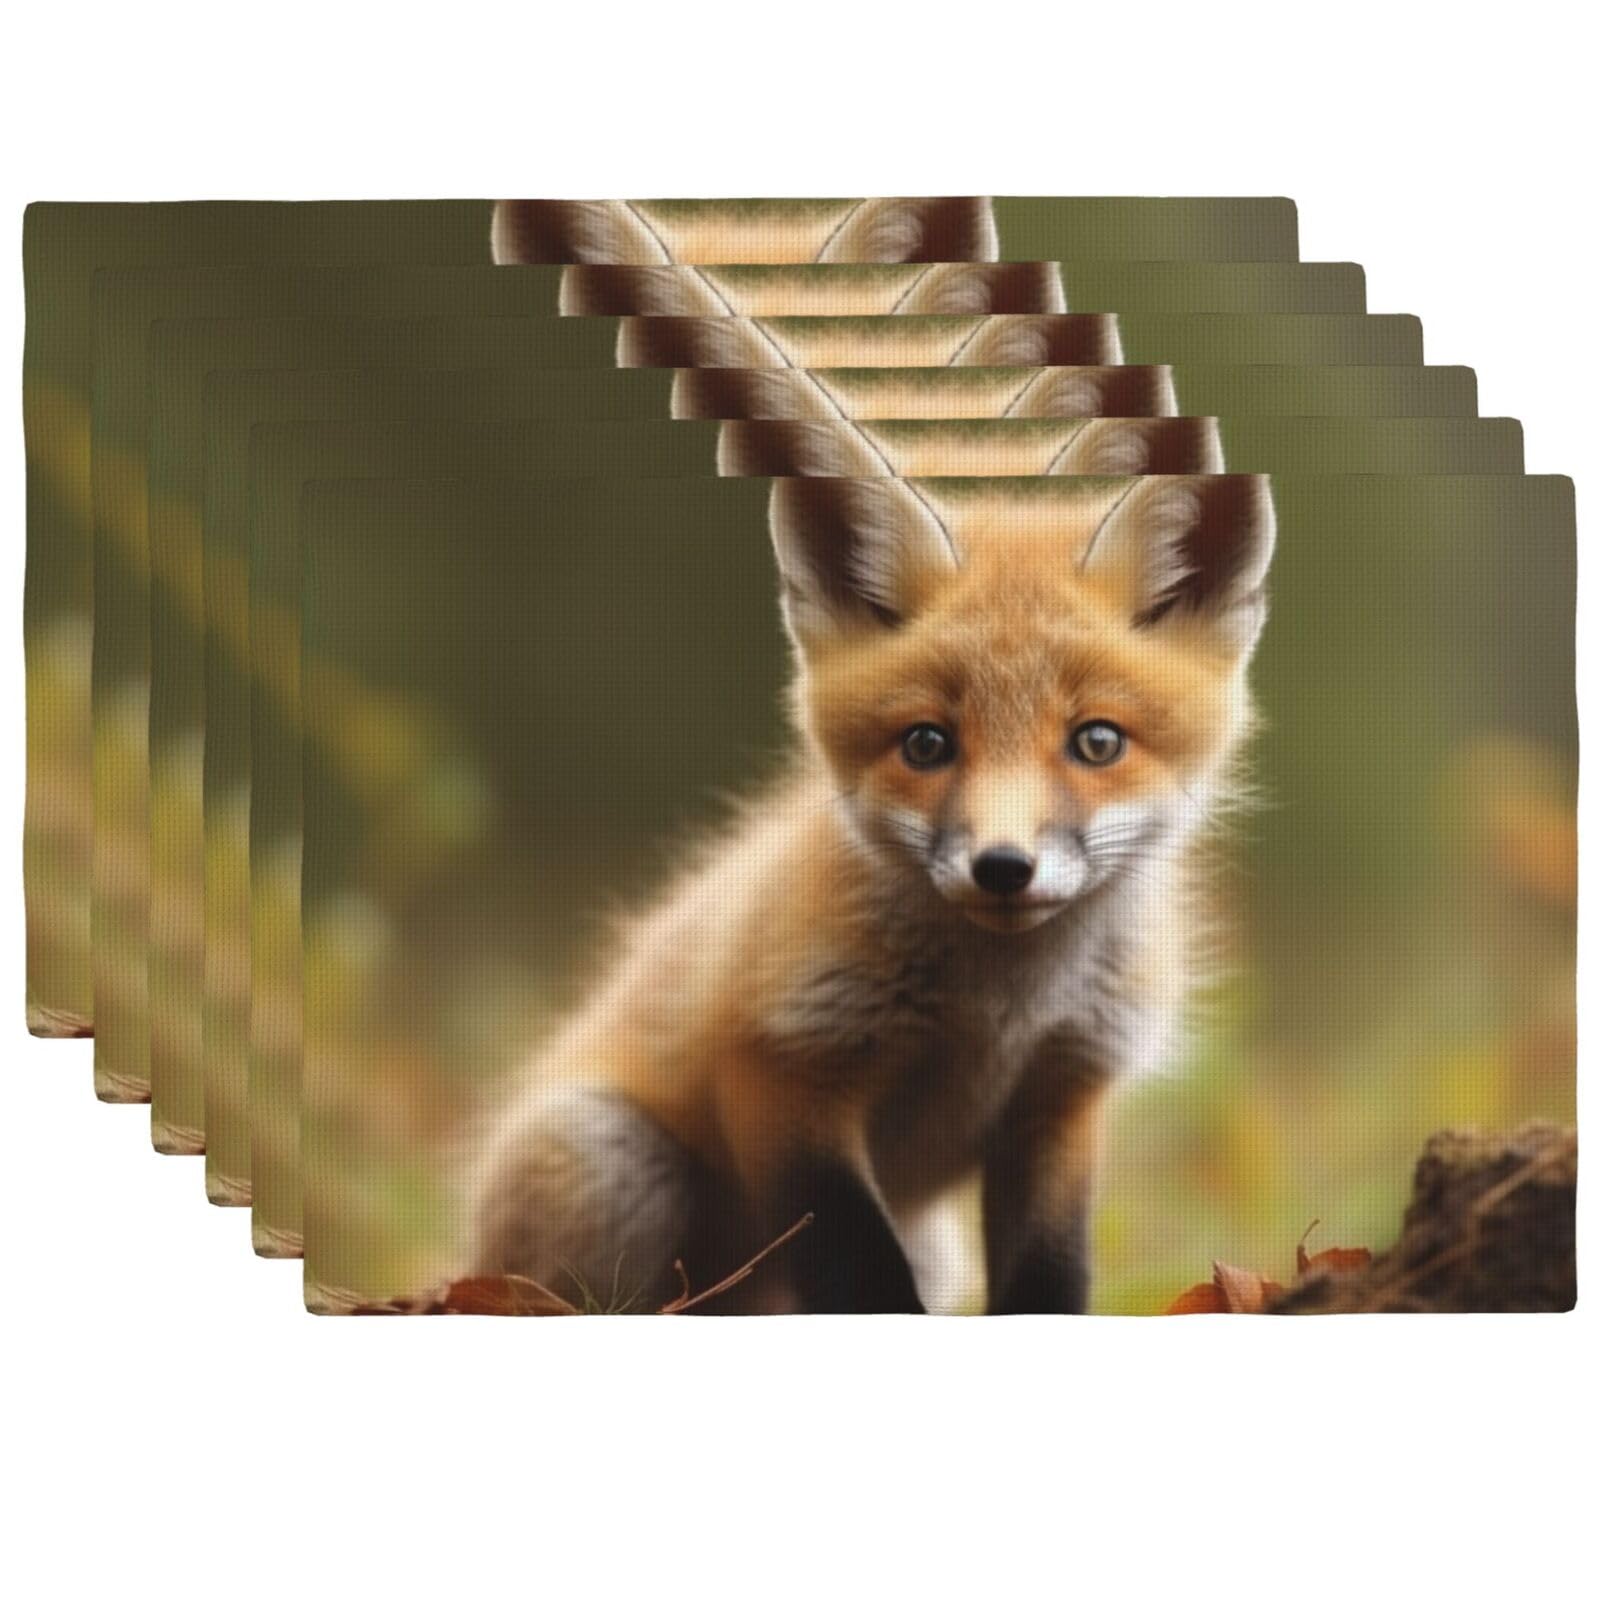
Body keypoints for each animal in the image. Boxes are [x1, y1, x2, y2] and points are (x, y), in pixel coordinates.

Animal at [468, 473, 1276, 1313]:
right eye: (926, 743)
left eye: (1098, 741)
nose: (1003, 867)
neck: (1000, 1012)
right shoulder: (783, 1060)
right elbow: (858, 1264)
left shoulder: (1061, 1095)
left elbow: (1051, 1273)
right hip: (610, 1159)